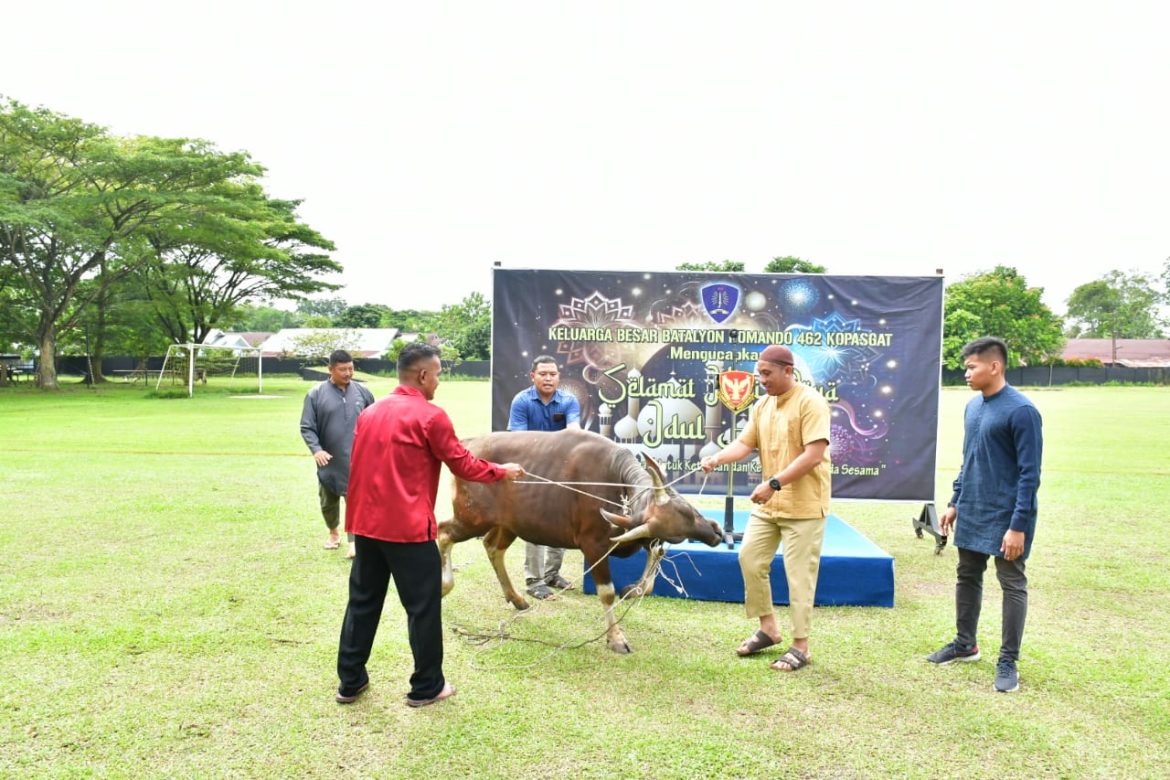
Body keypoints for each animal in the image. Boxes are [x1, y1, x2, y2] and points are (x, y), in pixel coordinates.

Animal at [439, 428, 720, 654]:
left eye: (686, 509)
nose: (716, 532)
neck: (615, 482)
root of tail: (469, 443)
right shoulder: (595, 547)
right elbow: (607, 593)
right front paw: (615, 638)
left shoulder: (642, 533)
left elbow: (656, 557)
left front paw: (635, 589)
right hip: (470, 520)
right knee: (443, 533)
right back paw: (445, 585)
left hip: (510, 525)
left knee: (492, 547)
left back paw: (516, 598)